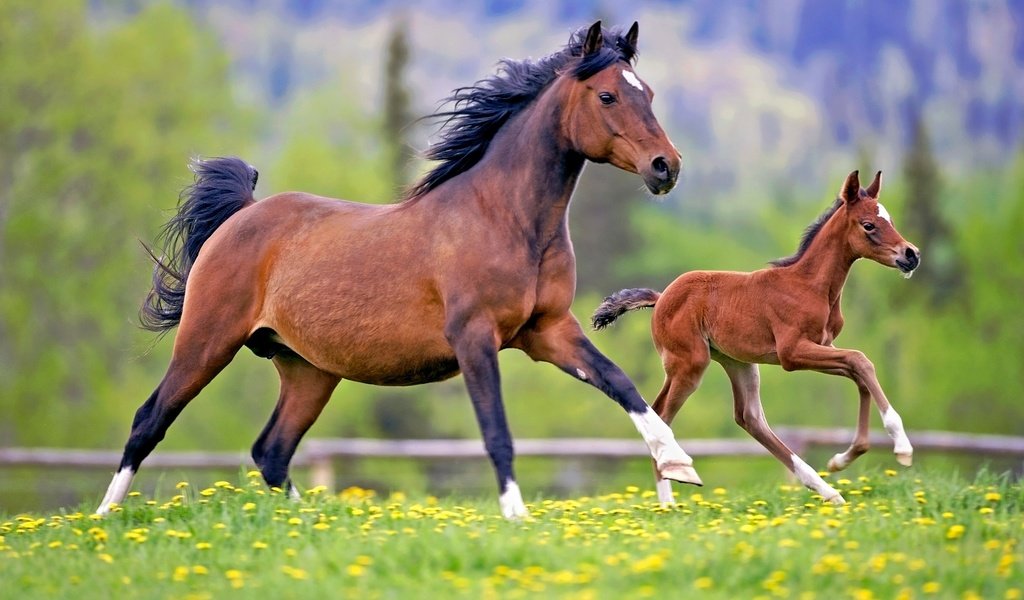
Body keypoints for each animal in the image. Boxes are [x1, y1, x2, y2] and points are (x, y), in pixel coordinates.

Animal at [97, 22, 704, 518]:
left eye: (647, 93)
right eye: (607, 94)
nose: (666, 167)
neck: (505, 218)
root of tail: (241, 215)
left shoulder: (548, 331)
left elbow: (622, 384)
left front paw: (679, 465)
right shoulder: (475, 337)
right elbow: (497, 430)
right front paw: (517, 517)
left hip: (308, 370)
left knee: (271, 451)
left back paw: (315, 520)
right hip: (208, 340)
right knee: (150, 420)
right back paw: (104, 518)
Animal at [593, 170, 921, 501]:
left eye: (890, 219)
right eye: (868, 225)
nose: (911, 255)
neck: (809, 286)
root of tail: (660, 298)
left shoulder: (823, 346)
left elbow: (859, 372)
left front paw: (843, 459)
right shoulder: (792, 353)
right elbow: (861, 360)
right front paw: (902, 446)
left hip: (739, 362)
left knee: (749, 418)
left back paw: (827, 491)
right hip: (690, 363)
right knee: (662, 414)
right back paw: (670, 498)